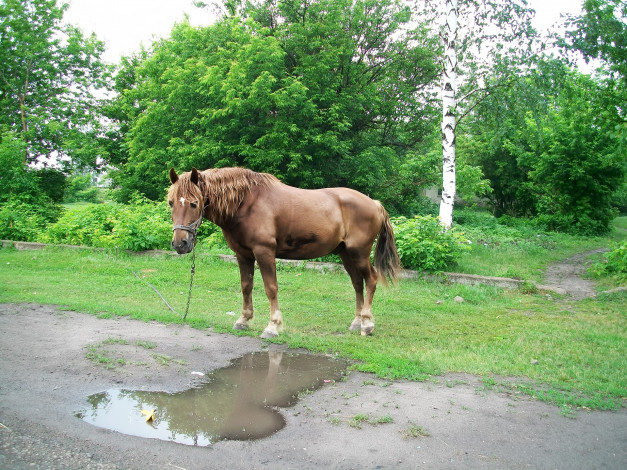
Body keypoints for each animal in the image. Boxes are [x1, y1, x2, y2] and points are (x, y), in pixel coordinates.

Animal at [169, 167, 400, 340]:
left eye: (194, 203)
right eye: (171, 202)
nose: (180, 243)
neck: (246, 204)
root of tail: (374, 204)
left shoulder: (264, 252)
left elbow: (271, 288)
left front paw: (273, 326)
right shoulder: (243, 255)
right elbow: (246, 286)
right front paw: (243, 321)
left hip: (359, 253)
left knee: (371, 279)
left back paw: (367, 324)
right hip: (346, 255)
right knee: (357, 284)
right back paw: (357, 321)